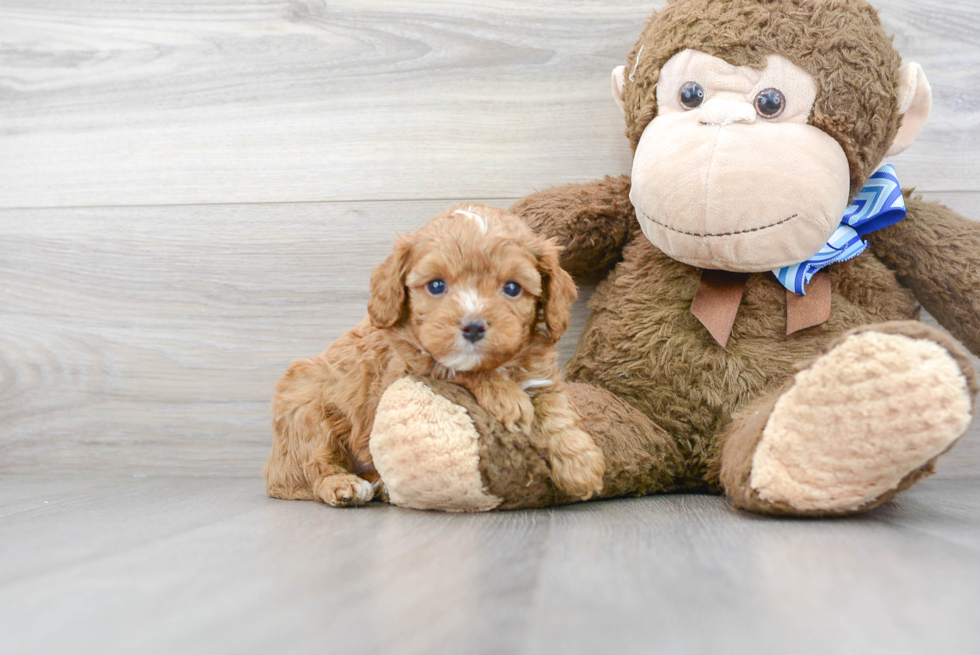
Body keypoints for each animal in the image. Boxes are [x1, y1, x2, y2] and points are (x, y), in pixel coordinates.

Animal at [264, 205, 608, 508]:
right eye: (437, 285)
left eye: (512, 288)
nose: (473, 327)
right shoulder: (408, 367)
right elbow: (459, 370)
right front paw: (506, 397)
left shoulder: (540, 375)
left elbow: (558, 411)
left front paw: (581, 464)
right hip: (306, 409)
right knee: (315, 464)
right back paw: (343, 484)